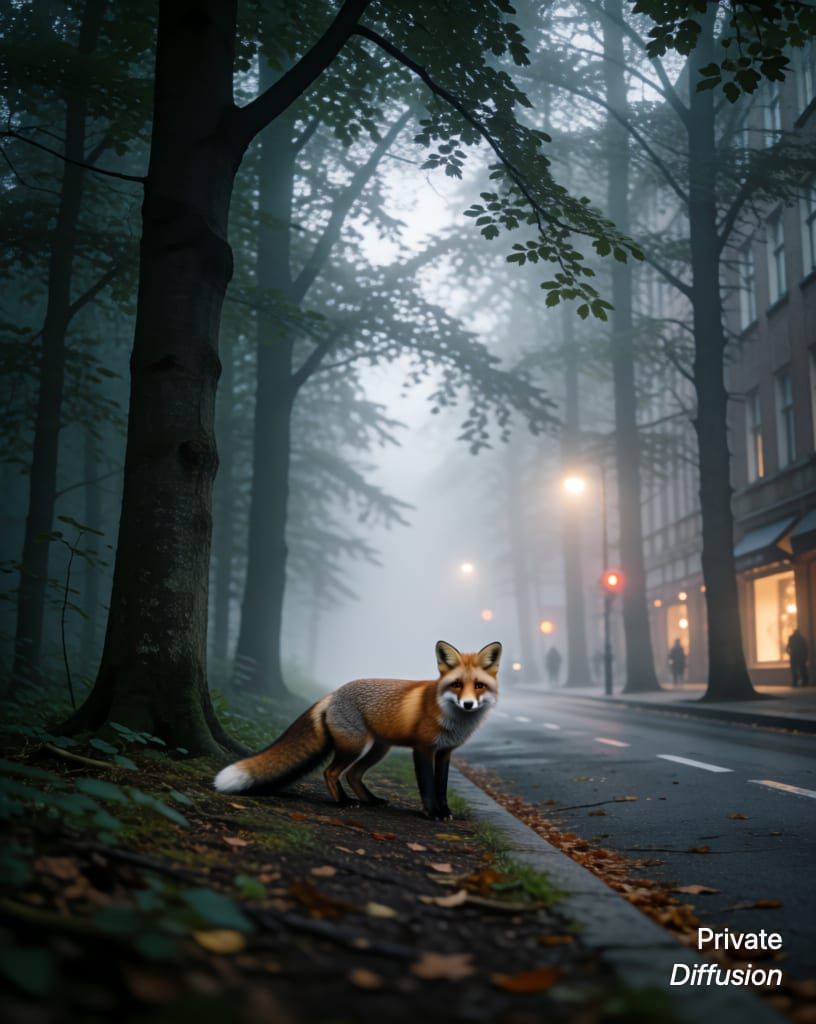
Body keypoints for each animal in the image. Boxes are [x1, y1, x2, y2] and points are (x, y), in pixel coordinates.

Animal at [213, 640, 501, 820]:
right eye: (456, 685)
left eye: (479, 686)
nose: (467, 704)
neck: (453, 721)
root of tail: (333, 693)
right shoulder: (423, 749)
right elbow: (428, 786)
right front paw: (432, 813)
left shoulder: (444, 752)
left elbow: (441, 787)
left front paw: (444, 811)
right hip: (355, 746)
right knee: (331, 772)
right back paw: (343, 801)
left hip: (378, 749)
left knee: (353, 774)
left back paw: (371, 800)